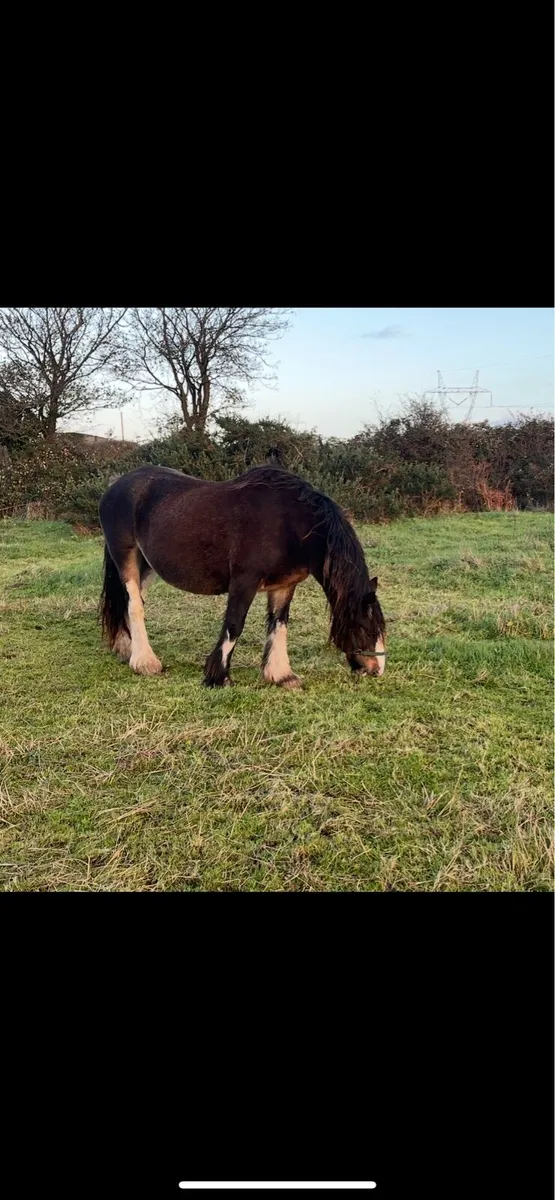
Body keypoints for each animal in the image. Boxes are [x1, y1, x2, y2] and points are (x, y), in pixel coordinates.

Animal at [98, 464, 386, 688]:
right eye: (366, 628)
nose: (376, 669)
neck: (291, 523)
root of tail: (116, 485)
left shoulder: (284, 586)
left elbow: (278, 624)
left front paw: (281, 675)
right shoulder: (244, 582)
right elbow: (235, 624)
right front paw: (219, 677)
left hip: (146, 566)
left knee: (131, 602)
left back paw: (127, 650)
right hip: (126, 558)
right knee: (134, 605)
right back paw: (145, 662)